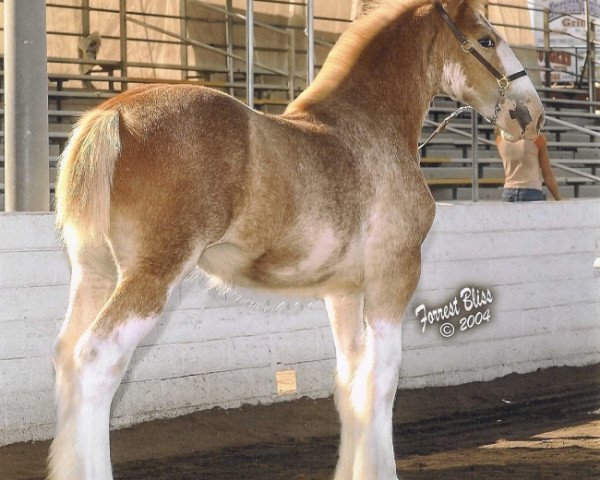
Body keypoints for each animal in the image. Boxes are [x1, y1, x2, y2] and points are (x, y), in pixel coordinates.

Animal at [49, 0, 540, 478]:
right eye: (487, 39)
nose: (531, 111)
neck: (369, 130)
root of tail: (114, 112)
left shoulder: (343, 294)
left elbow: (351, 384)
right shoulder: (394, 278)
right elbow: (382, 382)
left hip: (94, 274)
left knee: (68, 358)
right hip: (152, 276)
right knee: (97, 363)